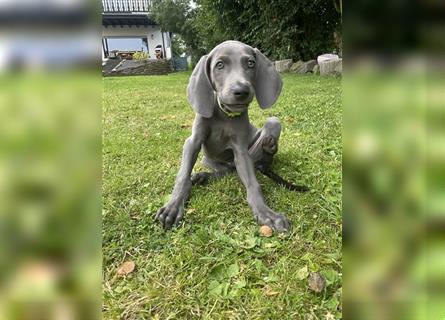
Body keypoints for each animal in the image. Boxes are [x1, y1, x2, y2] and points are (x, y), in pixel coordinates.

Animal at [154, 41, 304, 232]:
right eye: (219, 65)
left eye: (250, 63)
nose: (242, 91)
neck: (225, 114)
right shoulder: (193, 142)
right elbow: (182, 175)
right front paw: (173, 207)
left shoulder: (240, 151)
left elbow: (253, 183)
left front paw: (267, 213)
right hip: (207, 160)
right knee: (226, 170)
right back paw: (202, 177)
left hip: (271, 123)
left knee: (252, 165)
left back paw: (268, 148)